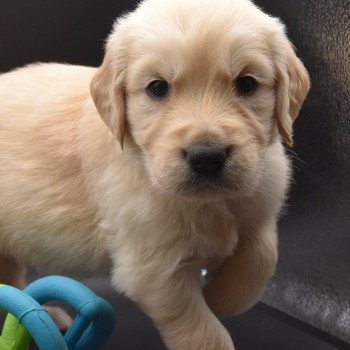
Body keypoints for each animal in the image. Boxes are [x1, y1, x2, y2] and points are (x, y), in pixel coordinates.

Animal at [0, 0, 308, 348]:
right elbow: (201, 331)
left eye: (246, 83)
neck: (208, 203)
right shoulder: (154, 270)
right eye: (157, 88)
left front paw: (221, 297)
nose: (206, 157)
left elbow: (262, 255)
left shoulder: (262, 202)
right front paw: (213, 307)